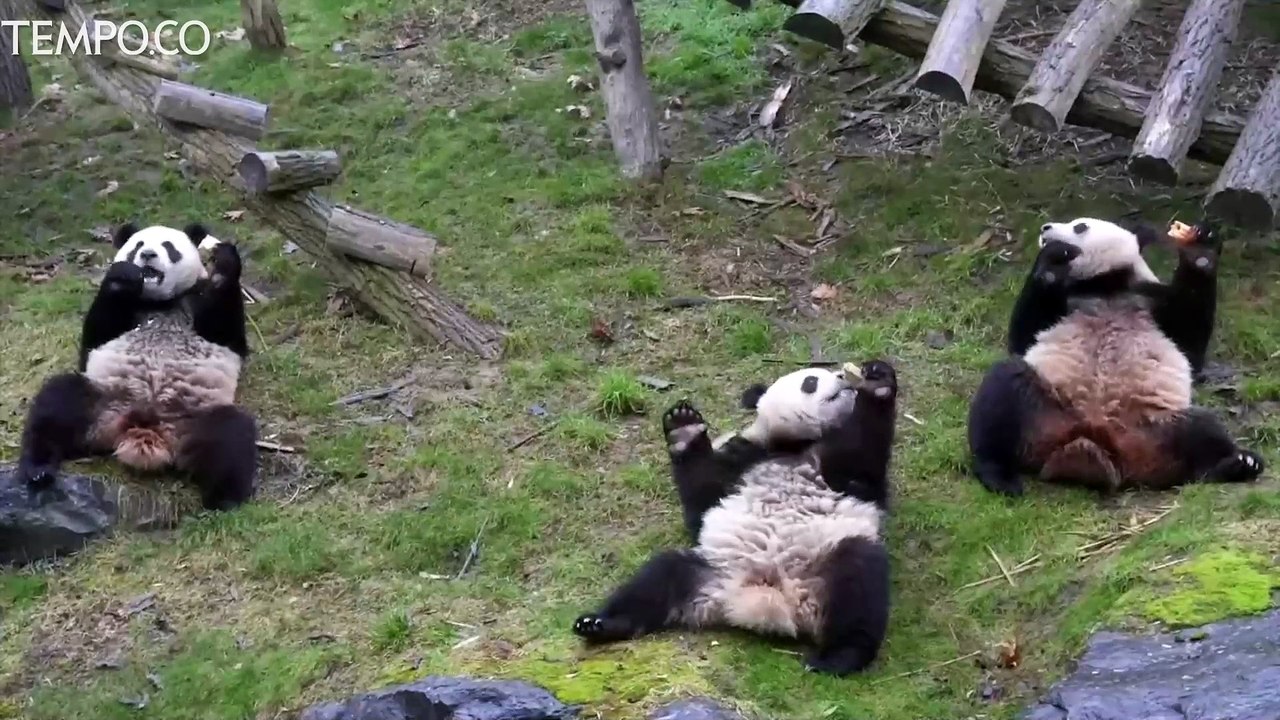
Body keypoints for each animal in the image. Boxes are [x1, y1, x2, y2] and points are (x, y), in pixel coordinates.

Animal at [14, 222, 258, 511]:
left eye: (168, 247)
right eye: (138, 245)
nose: (148, 255)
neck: (160, 302)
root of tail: (143, 430)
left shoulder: (198, 301)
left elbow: (227, 334)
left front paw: (223, 264)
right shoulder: (124, 314)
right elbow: (95, 338)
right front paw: (124, 276)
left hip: (195, 416)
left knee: (231, 437)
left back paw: (223, 499)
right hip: (102, 400)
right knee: (58, 401)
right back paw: (38, 469)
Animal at [572, 360, 898, 676]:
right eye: (811, 381)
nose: (844, 377)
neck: (794, 445)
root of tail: (764, 600)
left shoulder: (843, 472)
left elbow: (863, 458)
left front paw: (877, 382)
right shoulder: (744, 458)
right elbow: (704, 499)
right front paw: (683, 428)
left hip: (823, 567)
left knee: (859, 581)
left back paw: (838, 658)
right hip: (713, 571)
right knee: (661, 575)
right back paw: (600, 624)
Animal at [968, 216, 1264, 496]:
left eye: (1081, 226)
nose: (1045, 228)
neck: (1105, 284)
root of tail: (1091, 446)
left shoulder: (1152, 301)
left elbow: (1190, 343)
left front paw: (1200, 249)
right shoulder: (1065, 299)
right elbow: (1024, 337)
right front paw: (1052, 257)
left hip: (1155, 427)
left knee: (1203, 429)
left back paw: (1238, 464)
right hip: (1044, 410)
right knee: (1002, 391)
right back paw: (999, 475)